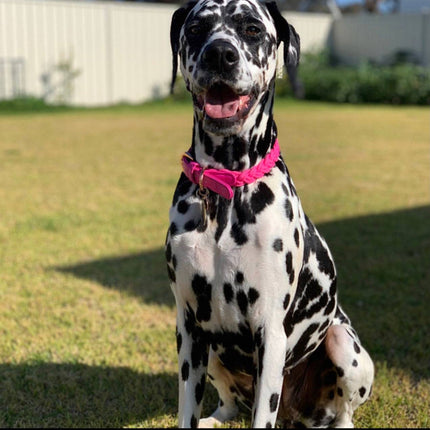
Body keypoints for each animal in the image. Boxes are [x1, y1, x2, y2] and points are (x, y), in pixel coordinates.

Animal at [165, 0, 372, 426]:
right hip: (212, 352)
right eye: (195, 29)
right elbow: (186, 410)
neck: (227, 186)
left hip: (344, 345)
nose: (219, 54)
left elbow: (262, 413)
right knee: (228, 401)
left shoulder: (270, 332)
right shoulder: (189, 328)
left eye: (252, 29)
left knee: (344, 412)